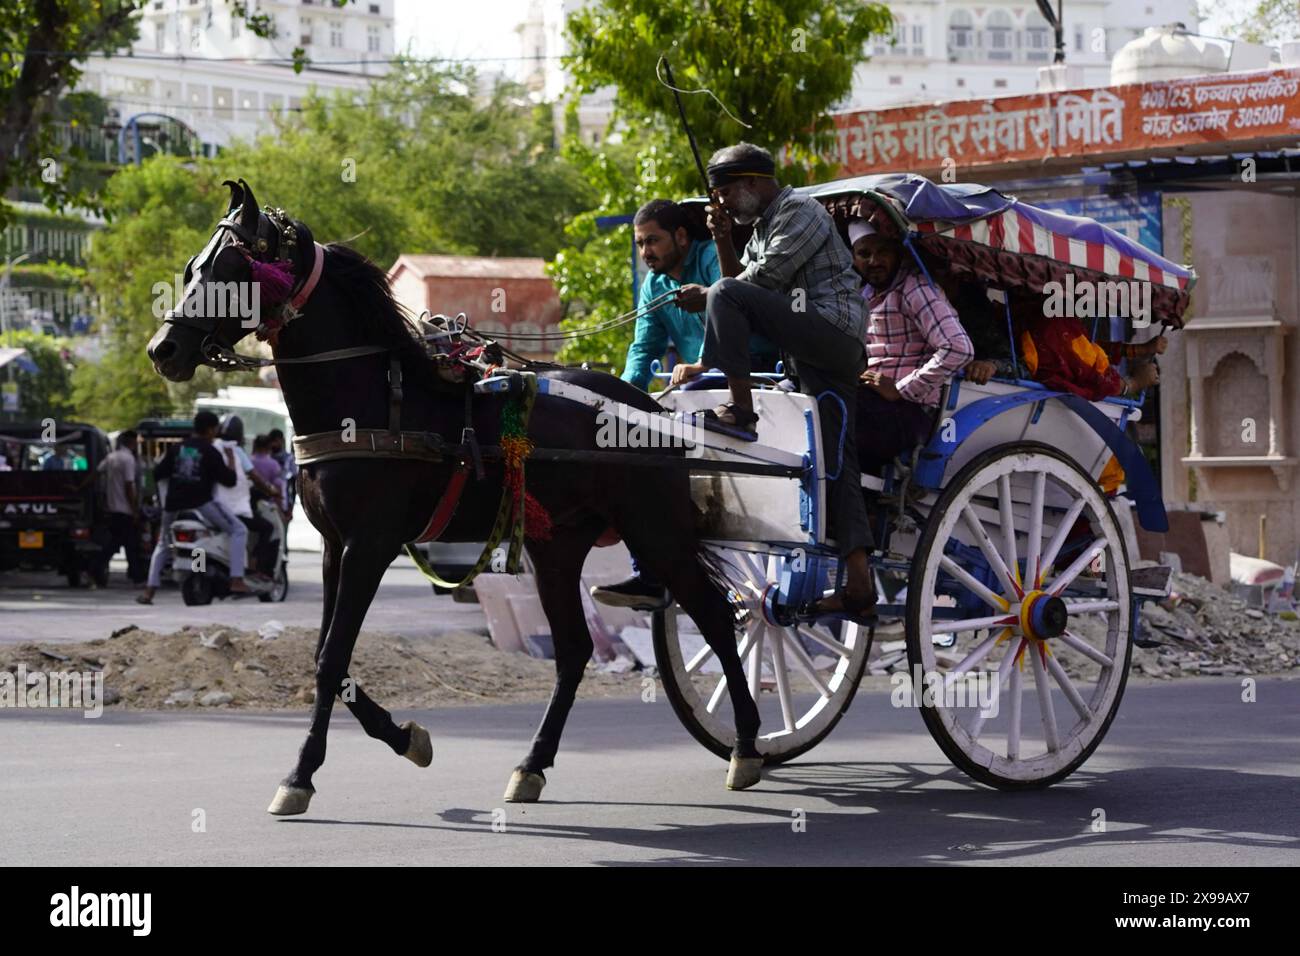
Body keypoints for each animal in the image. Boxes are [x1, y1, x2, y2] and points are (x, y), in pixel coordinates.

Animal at [146, 180, 759, 816]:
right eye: (192, 268)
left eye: (230, 269)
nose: (163, 350)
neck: (368, 403)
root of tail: (653, 410)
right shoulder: (336, 547)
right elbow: (326, 656)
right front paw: (405, 738)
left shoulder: (369, 546)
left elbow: (332, 657)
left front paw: (301, 774)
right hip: (556, 547)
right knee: (572, 651)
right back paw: (531, 765)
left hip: (657, 531)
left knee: (718, 620)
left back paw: (746, 747)